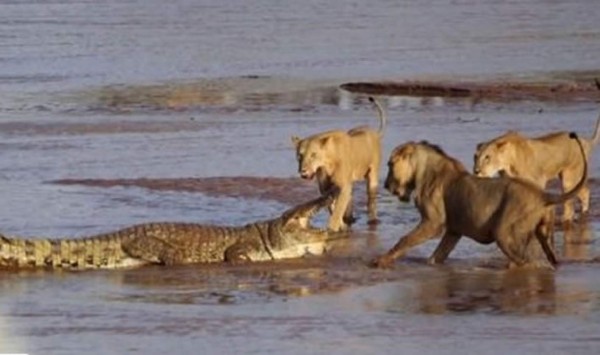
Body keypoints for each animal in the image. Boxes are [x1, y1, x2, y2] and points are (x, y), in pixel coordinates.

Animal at [292, 96, 386, 234]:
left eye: (313, 155)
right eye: (300, 155)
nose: (303, 171)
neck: (327, 162)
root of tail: (374, 132)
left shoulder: (343, 186)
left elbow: (338, 209)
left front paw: (332, 228)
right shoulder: (326, 189)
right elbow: (332, 207)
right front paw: (341, 225)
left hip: (372, 175)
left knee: (371, 199)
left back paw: (372, 220)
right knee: (350, 199)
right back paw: (349, 218)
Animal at [370, 134, 584, 270]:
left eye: (390, 164)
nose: (386, 185)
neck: (423, 171)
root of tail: (543, 195)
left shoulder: (433, 223)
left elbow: (405, 239)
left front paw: (381, 261)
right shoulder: (453, 231)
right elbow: (437, 256)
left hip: (505, 233)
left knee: (526, 262)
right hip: (543, 235)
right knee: (549, 259)